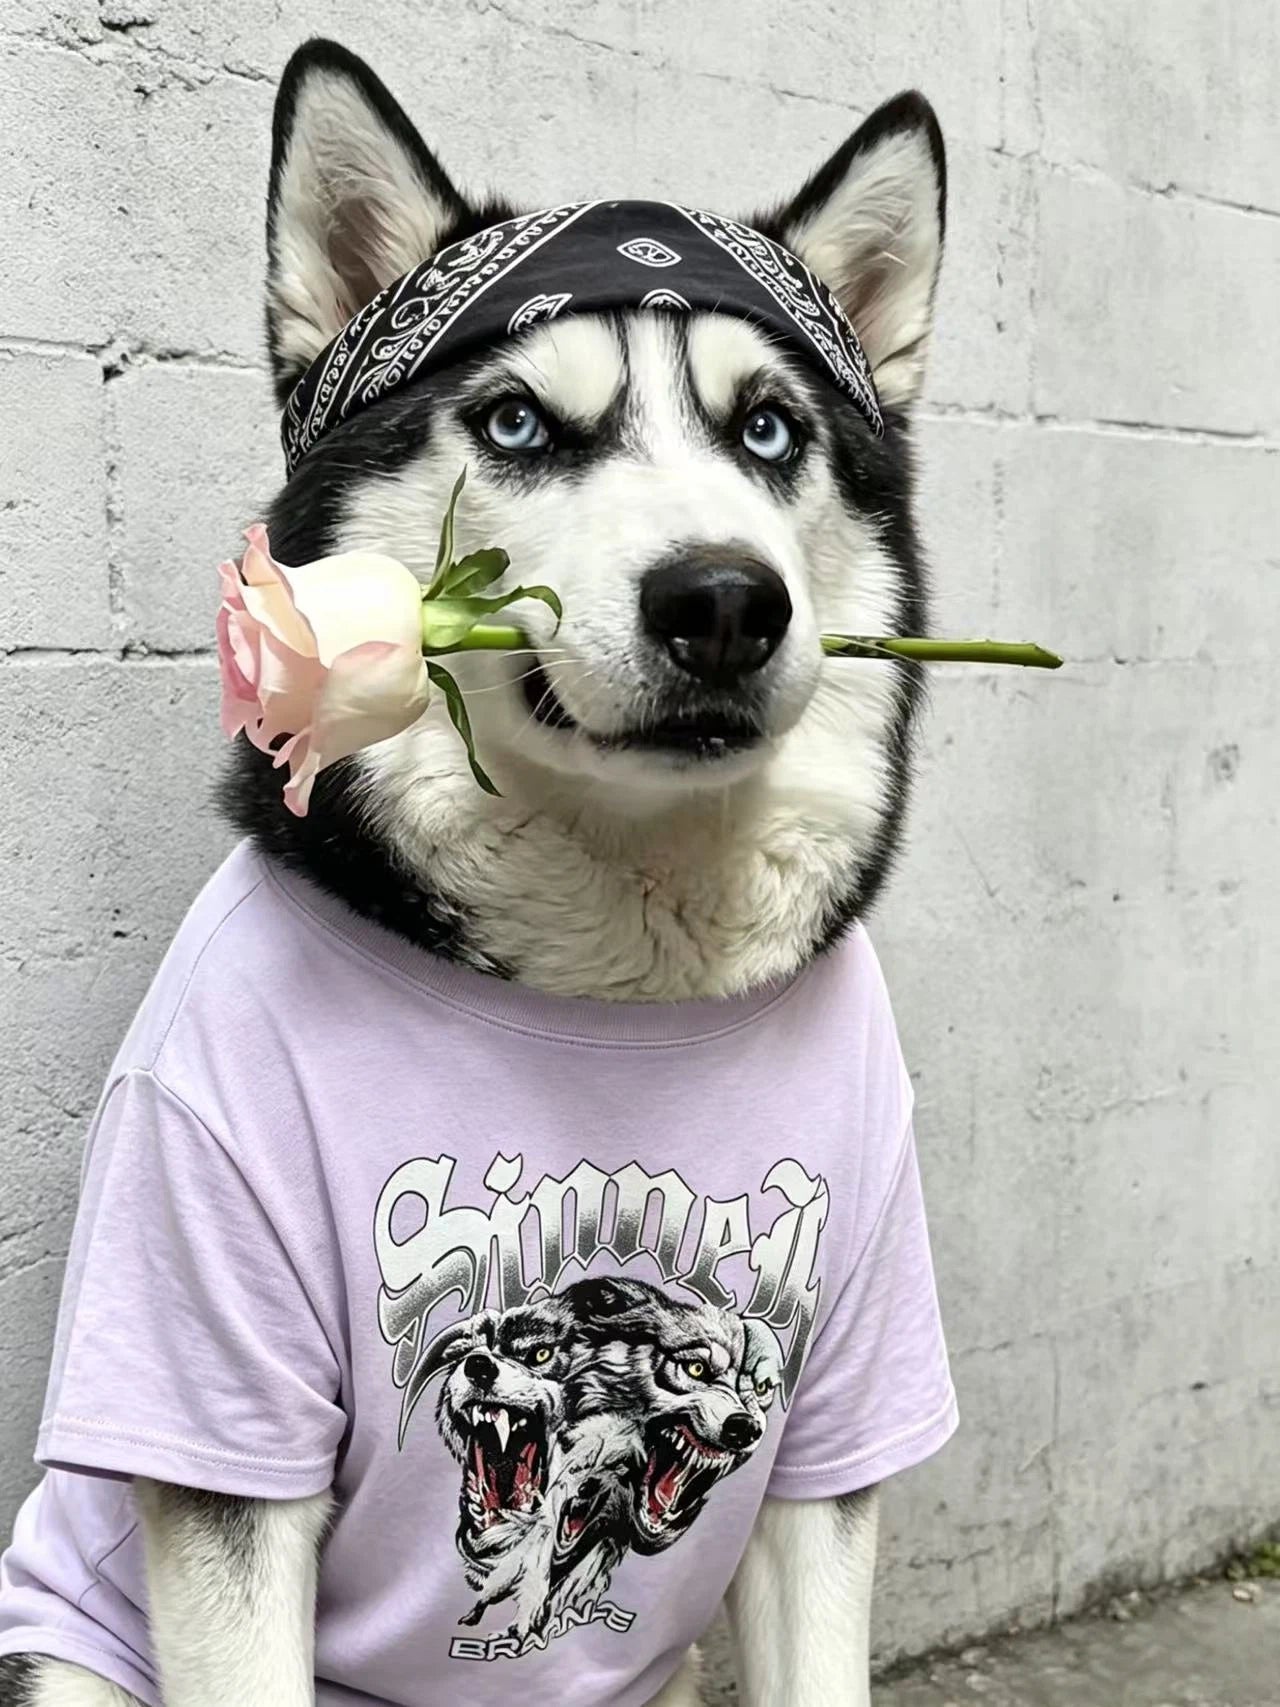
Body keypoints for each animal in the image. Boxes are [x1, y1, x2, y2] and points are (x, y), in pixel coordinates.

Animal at [0, 30, 945, 1707]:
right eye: (514, 425)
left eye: (770, 428)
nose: (722, 599)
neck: (614, 975)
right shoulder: (218, 1408)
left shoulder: (829, 1442)